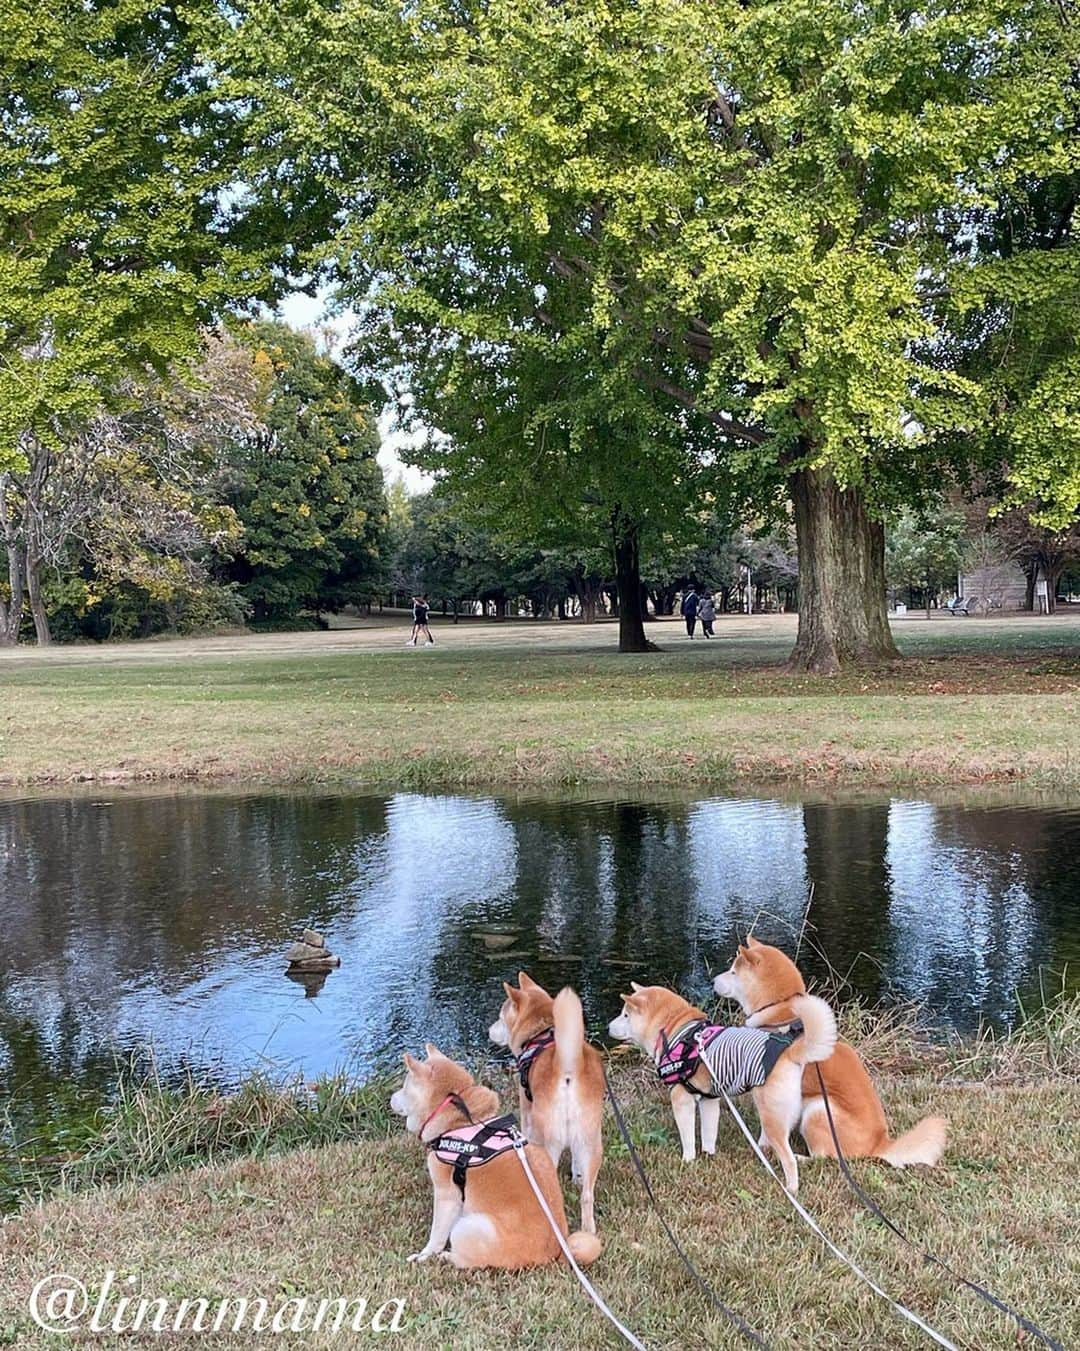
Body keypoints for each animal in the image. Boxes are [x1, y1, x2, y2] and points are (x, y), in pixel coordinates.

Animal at [391, 1037, 602, 1269]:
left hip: (469, 1227)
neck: (461, 1120)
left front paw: (424, 1255)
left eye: (404, 1087)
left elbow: (436, 1234)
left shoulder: (446, 1194)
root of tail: (557, 1251)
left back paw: (447, 1256)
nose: (391, 1098)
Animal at [492, 972, 608, 1237]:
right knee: (587, 1195)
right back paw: (588, 1230)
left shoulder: (526, 1107)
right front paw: (576, 1177)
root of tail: (568, 1068)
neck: (541, 1033)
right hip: (592, 1142)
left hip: (549, 1144)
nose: (489, 1030)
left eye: (501, 1018)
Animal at [608, 978, 838, 1188]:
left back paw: (791, 1188)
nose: (608, 1026)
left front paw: (688, 1160)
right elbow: (709, 1132)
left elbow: (687, 1136)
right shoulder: (709, 1099)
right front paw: (708, 1154)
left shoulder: (681, 1098)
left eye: (625, 1015)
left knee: (789, 1159)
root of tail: (789, 1051)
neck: (674, 1030)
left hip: (771, 1112)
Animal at [719, 940, 946, 1172]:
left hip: (817, 1110)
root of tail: (879, 1143)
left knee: (823, 1156)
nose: (714, 980)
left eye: (733, 972)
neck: (782, 1012)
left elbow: (768, 1125)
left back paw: (802, 1158)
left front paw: (763, 1146)